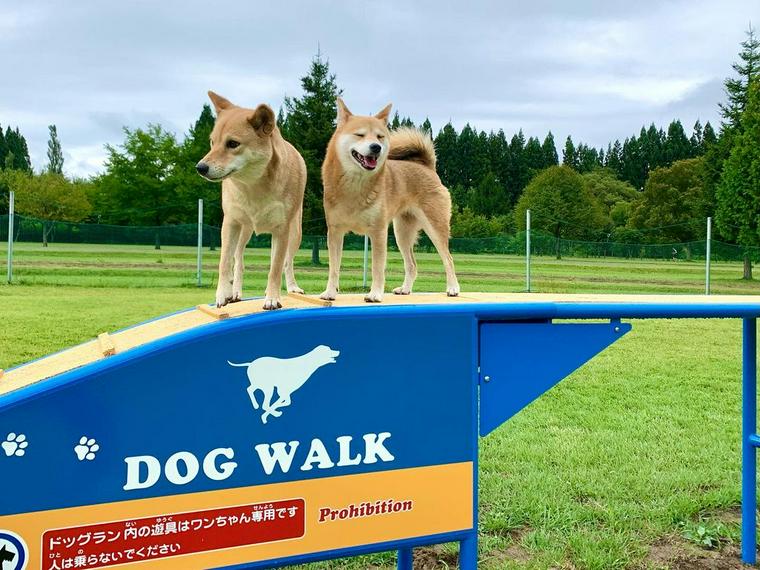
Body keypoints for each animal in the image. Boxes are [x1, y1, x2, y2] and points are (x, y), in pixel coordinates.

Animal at [197, 91, 308, 308]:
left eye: (232, 144)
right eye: (213, 142)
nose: (200, 167)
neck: (254, 186)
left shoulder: (281, 229)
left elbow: (276, 267)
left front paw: (272, 297)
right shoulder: (230, 223)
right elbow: (224, 262)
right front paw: (222, 294)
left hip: (295, 233)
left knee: (287, 262)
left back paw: (291, 287)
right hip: (244, 230)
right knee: (238, 260)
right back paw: (235, 292)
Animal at [320, 98, 460, 302]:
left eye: (380, 137)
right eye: (360, 134)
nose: (376, 147)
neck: (355, 183)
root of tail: (427, 167)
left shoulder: (378, 232)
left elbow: (377, 268)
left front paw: (375, 294)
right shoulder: (335, 232)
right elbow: (334, 268)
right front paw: (330, 293)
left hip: (434, 227)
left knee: (448, 259)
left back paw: (453, 288)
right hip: (402, 233)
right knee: (412, 265)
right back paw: (405, 289)